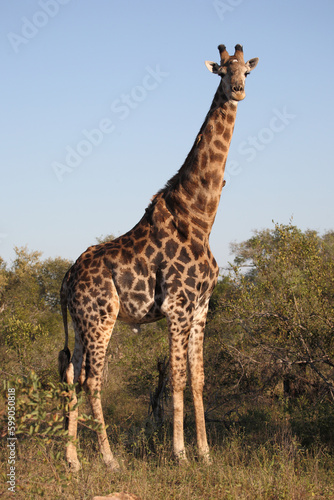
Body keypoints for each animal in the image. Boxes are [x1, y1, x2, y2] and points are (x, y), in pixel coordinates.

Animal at [58, 42, 260, 468]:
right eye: (222, 72)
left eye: (247, 72)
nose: (237, 90)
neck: (200, 217)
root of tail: (65, 280)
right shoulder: (178, 306)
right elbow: (177, 378)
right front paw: (180, 454)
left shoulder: (201, 307)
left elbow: (199, 378)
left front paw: (206, 454)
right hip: (101, 318)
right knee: (93, 380)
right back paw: (109, 460)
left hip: (83, 324)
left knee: (73, 375)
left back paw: (73, 460)